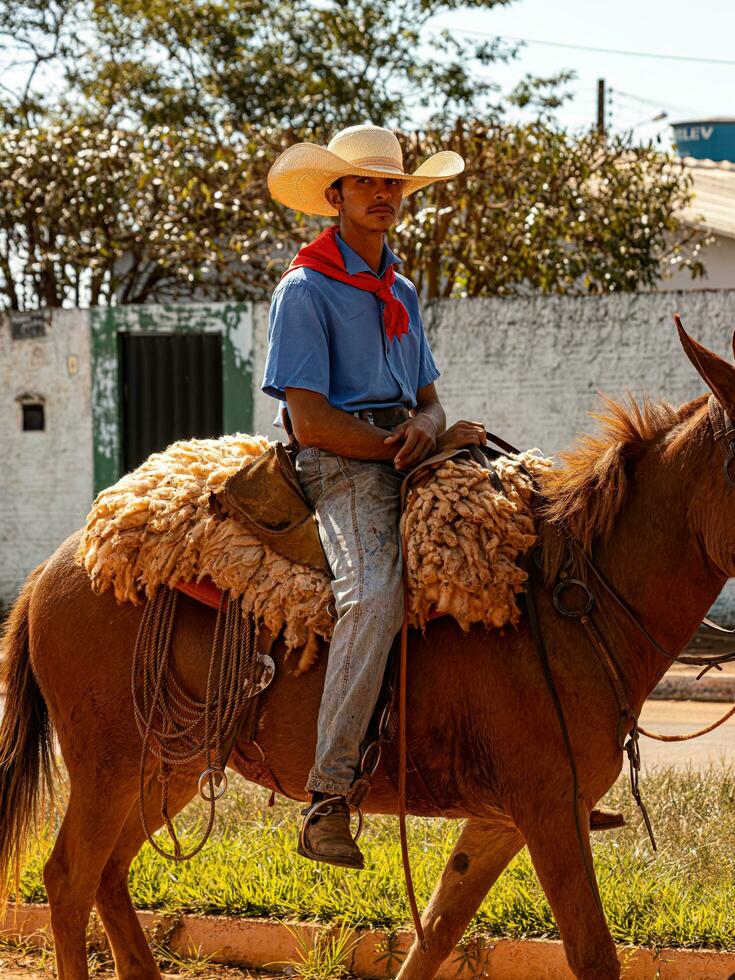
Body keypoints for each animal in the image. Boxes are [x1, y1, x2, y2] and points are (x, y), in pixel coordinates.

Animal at [1, 322, 735, 980]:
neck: (570, 602)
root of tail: (55, 568)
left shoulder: (501, 822)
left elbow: (435, 937)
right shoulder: (552, 810)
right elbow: (591, 956)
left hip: (168, 762)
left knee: (109, 871)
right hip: (110, 764)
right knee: (69, 877)